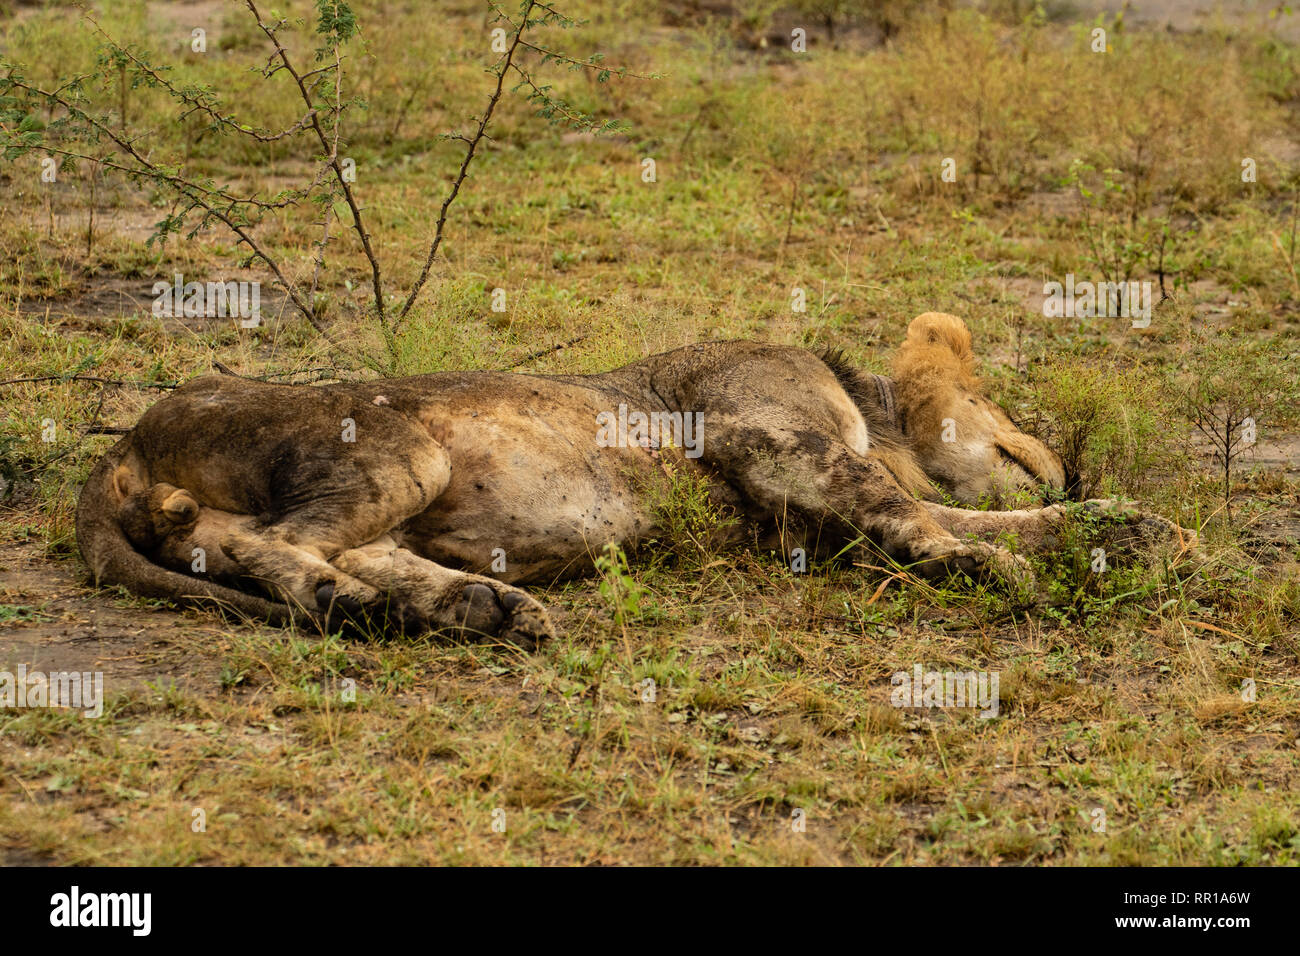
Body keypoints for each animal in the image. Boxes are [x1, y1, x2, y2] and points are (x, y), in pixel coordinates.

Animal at [73, 314, 1190, 650]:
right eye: (1000, 403)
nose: (1066, 454)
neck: (872, 413)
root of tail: (121, 442)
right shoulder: (766, 433)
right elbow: (914, 511)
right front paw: (982, 567)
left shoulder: (802, 519)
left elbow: (975, 514)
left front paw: (1140, 530)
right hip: (396, 448)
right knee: (277, 544)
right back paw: (351, 601)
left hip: (394, 505)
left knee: (293, 545)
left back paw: (478, 608)